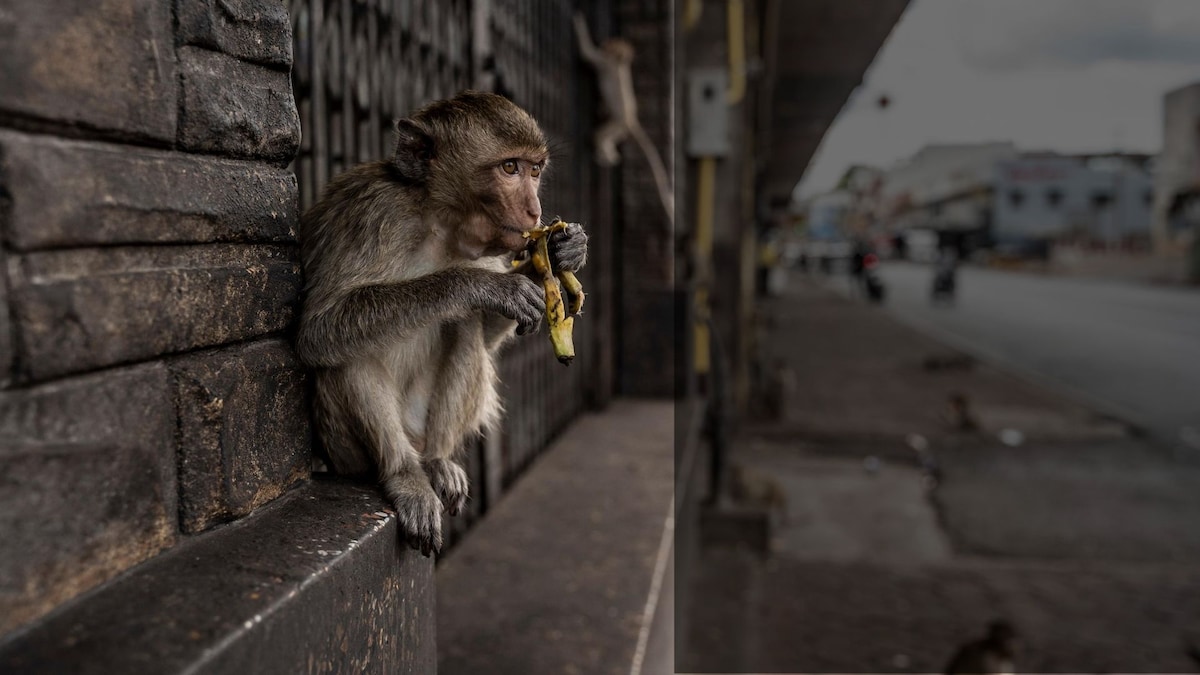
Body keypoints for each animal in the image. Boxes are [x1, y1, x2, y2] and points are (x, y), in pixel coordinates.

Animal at [573, 11, 676, 228]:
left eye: (612, 45)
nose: (607, 43)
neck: (621, 63)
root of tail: (630, 120)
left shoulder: (603, 61)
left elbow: (587, 53)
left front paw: (578, 22)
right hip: (619, 129)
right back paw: (612, 155)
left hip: (615, 124)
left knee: (599, 135)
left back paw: (602, 153)